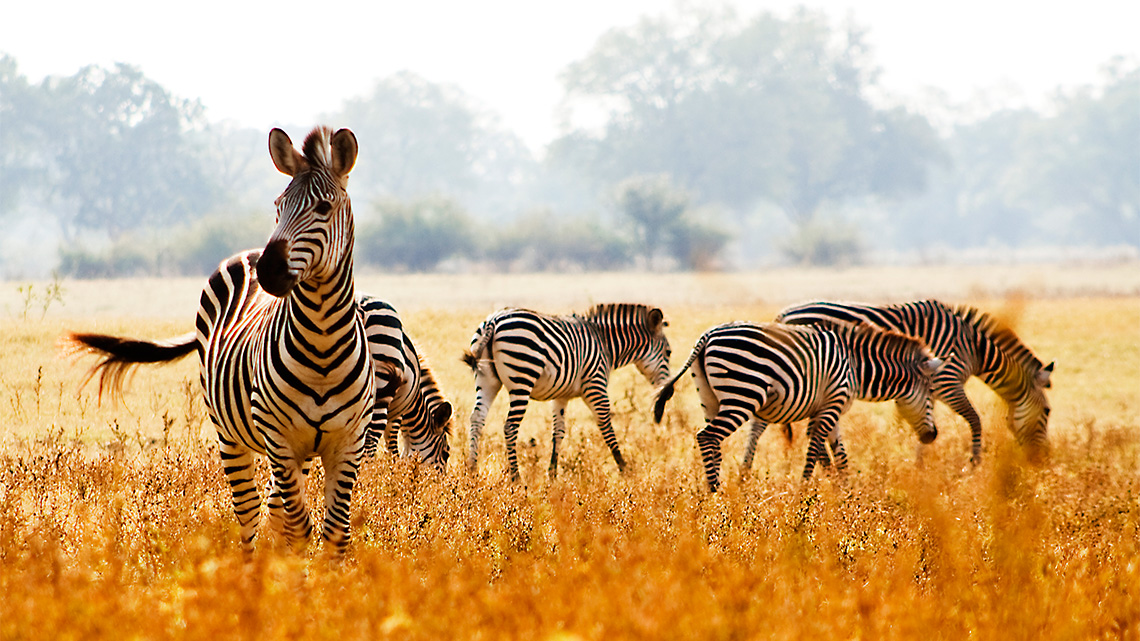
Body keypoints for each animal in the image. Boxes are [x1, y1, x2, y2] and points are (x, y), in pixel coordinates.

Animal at [67, 127, 376, 554]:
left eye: (324, 208)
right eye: (278, 206)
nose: (269, 270)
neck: (323, 343)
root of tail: (247, 253)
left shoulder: (348, 444)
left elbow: (335, 533)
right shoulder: (279, 439)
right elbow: (299, 528)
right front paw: (293, 574)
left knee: (274, 510)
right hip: (232, 435)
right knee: (249, 514)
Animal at [359, 295, 452, 470]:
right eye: (446, 454)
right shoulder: (397, 414)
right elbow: (392, 448)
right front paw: (392, 471)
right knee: (369, 443)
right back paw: (367, 475)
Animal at [461, 303, 671, 481]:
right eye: (669, 353)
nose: (669, 393)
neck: (605, 343)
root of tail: (494, 320)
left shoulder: (560, 396)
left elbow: (558, 432)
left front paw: (552, 475)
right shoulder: (595, 385)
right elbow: (606, 426)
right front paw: (625, 469)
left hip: (487, 380)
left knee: (477, 418)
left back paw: (472, 470)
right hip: (523, 378)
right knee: (510, 426)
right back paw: (516, 478)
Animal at [653, 321, 943, 492]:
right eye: (931, 392)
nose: (932, 436)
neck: (854, 365)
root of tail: (707, 335)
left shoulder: (829, 407)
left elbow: (839, 454)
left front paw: (844, 492)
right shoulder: (832, 404)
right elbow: (816, 448)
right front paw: (805, 491)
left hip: (709, 399)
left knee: (713, 442)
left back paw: (713, 493)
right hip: (744, 394)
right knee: (707, 436)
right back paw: (716, 491)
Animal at [770, 299, 1054, 465]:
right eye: (1048, 412)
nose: (1042, 460)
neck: (974, 349)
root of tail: (782, 315)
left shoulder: (930, 389)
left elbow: (924, 424)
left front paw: (919, 467)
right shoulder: (948, 382)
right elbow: (975, 420)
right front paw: (974, 463)